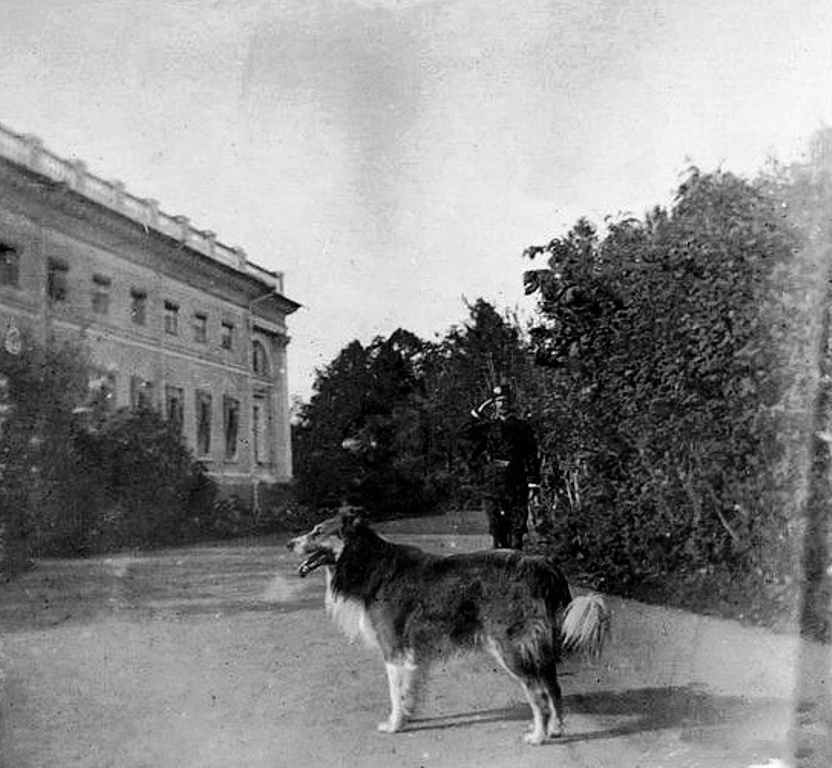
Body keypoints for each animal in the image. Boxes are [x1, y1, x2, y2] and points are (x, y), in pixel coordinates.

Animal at [287, 509, 610, 745]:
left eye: (317, 532)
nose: (289, 544)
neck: (370, 563)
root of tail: (543, 565)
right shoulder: (411, 653)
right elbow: (409, 689)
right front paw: (408, 716)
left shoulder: (394, 650)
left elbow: (395, 692)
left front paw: (394, 724)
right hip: (536, 650)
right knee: (554, 688)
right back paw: (555, 729)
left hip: (512, 649)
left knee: (540, 695)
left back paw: (539, 736)